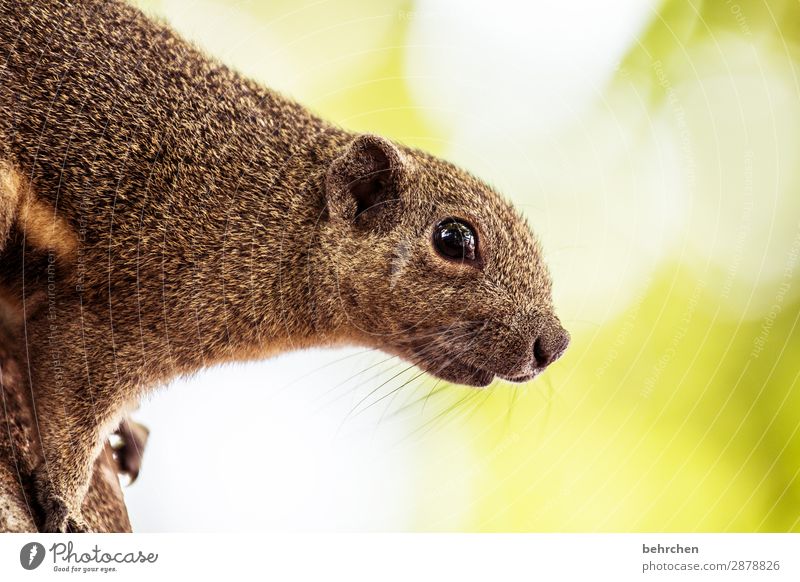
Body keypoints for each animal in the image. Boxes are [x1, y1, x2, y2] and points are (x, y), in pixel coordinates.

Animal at [0, 0, 568, 532]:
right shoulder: (121, 308)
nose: (554, 343)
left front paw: (126, 434)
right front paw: (64, 504)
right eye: (453, 239)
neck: (276, 220)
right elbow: (72, 406)